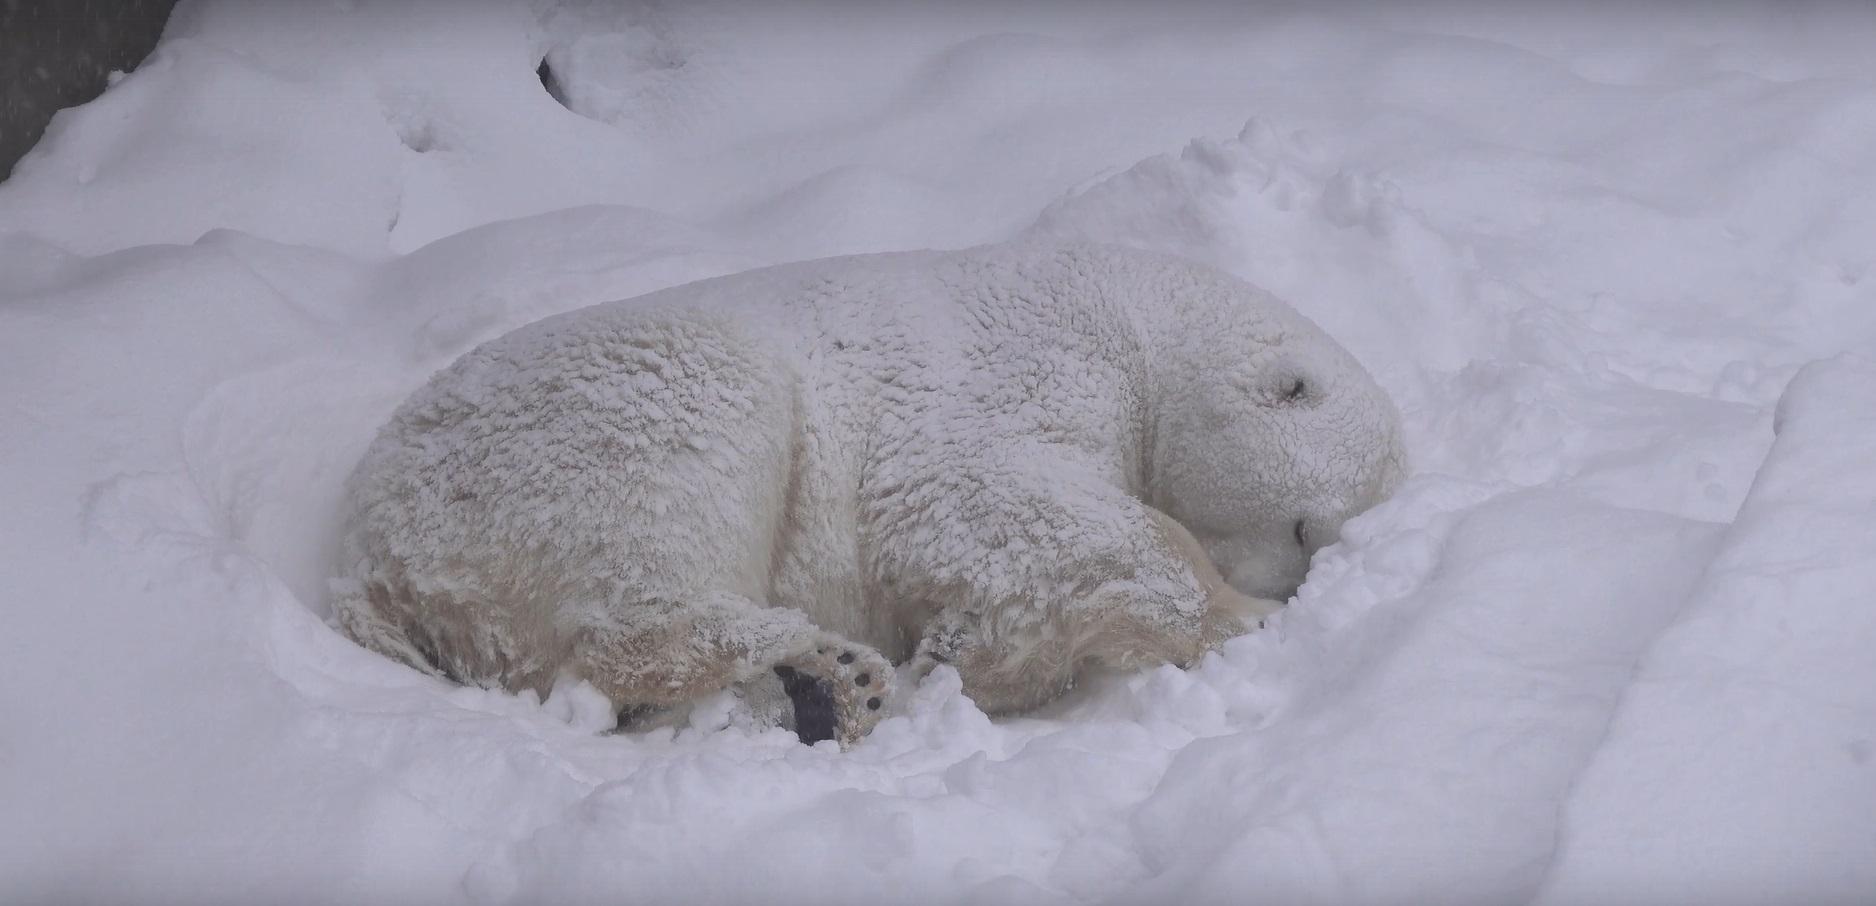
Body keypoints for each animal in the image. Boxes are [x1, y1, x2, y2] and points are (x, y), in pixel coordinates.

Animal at [330, 241, 1403, 746]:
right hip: (584, 430)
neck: (1134, 321)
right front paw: (1242, 616)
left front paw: (968, 653)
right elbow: (981, 497)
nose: (1299, 588)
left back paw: (823, 688)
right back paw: (831, 670)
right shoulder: (1025, 372)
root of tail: (368, 552)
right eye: (1304, 529)